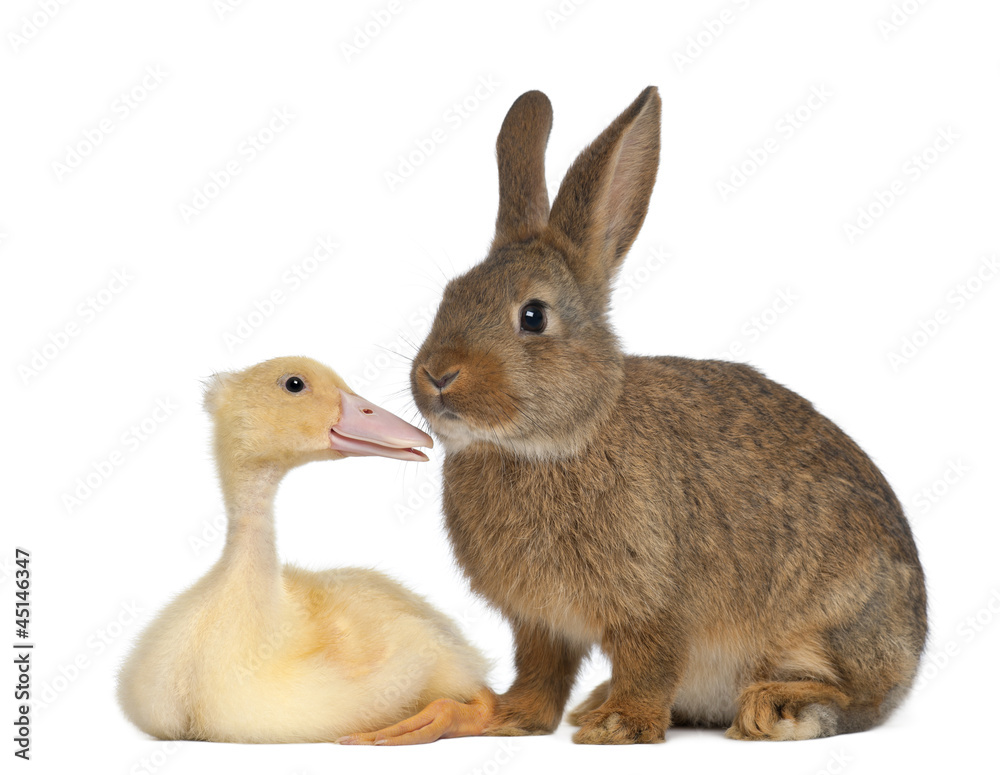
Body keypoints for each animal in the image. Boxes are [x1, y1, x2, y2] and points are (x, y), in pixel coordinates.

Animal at [401, 87, 927, 745]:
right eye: (450, 295)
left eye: (533, 316)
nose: (437, 374)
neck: (560, 438)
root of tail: (914, 647)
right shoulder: (541, 623)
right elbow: (539, 681)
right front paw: (496, 716)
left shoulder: (653, 602)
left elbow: (650, 661)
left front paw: (619, 727)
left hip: (832, 622)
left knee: (857, 698)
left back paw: (776, 708)